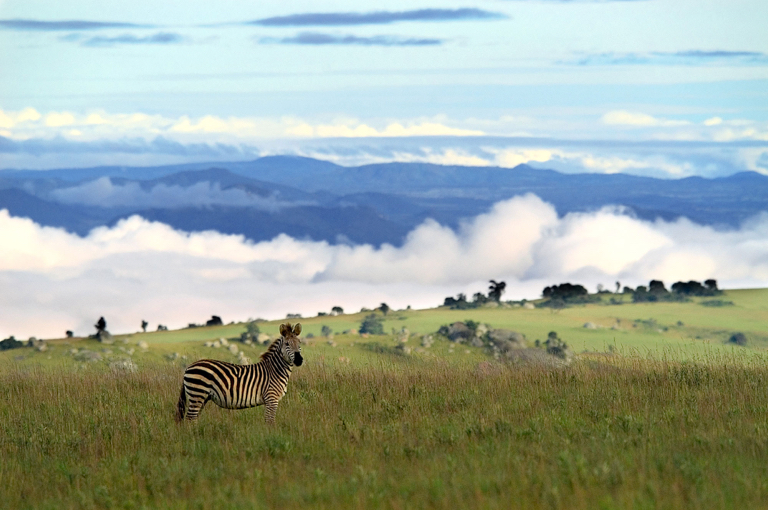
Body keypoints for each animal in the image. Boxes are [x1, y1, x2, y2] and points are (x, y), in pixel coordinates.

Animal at [176, 320, 304, 424]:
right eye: (287, 344)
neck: (275, 370)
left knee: (193, 418)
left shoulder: (270, 400)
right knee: (190, 419)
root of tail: (189, 366)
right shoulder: (271, 398)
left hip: (201, 397)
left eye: (299, 343)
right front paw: (271, 437)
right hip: (197, 394)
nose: (299, 360)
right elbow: (270, 422)